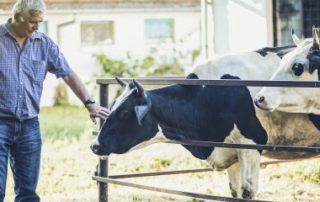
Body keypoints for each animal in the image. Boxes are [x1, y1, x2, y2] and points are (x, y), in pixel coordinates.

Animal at [92, 74, 268, 199]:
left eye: (124, 112)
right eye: (111, 106)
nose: (95, 145)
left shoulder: (251, 145)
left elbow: (247, 192)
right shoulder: (232, 157)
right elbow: (235, 192)